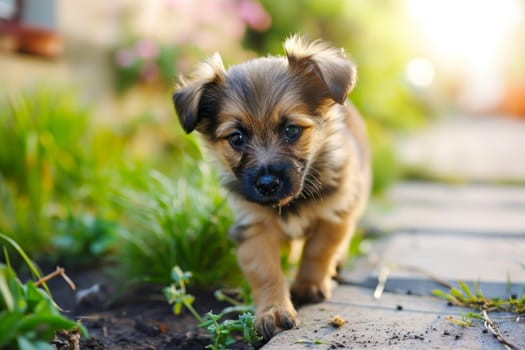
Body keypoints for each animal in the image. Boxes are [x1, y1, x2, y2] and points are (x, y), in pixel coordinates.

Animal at [172, 35, 368, 340]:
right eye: (237, 138)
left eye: (291, 130)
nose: (266, 184)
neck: (292, 201)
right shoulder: (254, 227)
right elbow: (266, 272)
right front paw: (274, 311)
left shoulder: (334, 213)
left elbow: (318, 250)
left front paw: (309, 287)